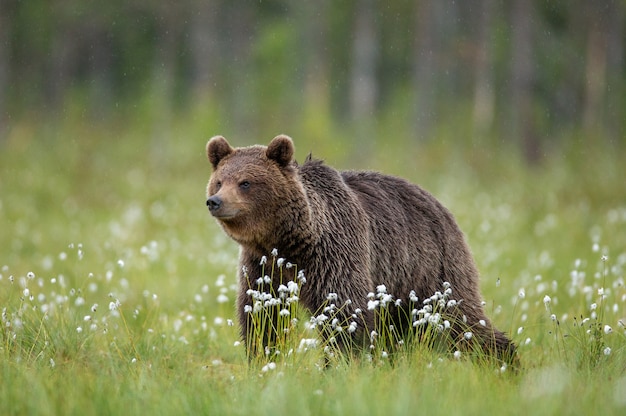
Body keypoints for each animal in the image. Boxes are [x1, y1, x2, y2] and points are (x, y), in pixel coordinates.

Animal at [207, 135, 516, 366]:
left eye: (245, 182)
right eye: (219, 181)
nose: (215, 201)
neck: (289, 241)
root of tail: (441, 205)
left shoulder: (334, 254)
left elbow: (345, 313)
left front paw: (341, 365)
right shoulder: (263, 265)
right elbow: (261, 313)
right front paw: (263, 357)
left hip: (433, 268)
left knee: (461, 318)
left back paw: (505, 361)